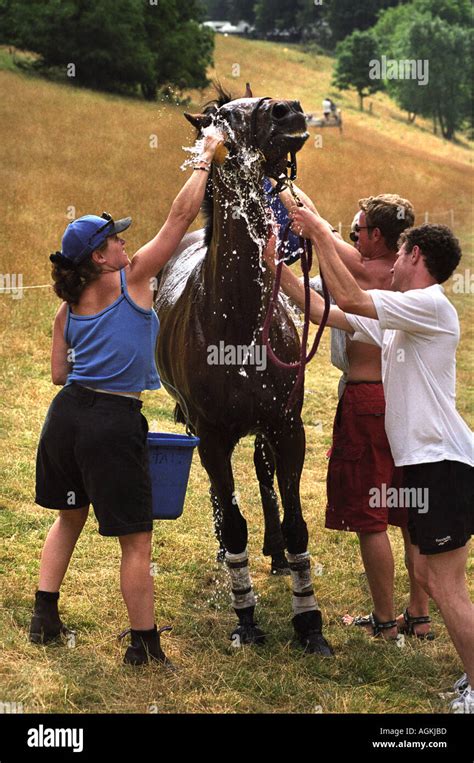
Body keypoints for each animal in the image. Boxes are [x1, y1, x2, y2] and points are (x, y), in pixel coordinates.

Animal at [154, 85, 332, 656]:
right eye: (218, 121)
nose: (288, 111)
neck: (236, 321)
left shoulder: (286, 427)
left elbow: (297, 524)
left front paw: (309, 623)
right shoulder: (210, 435)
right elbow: (232, 523)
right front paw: (246, 618)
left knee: (262, 473)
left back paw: (274, 552)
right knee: (223, 496)